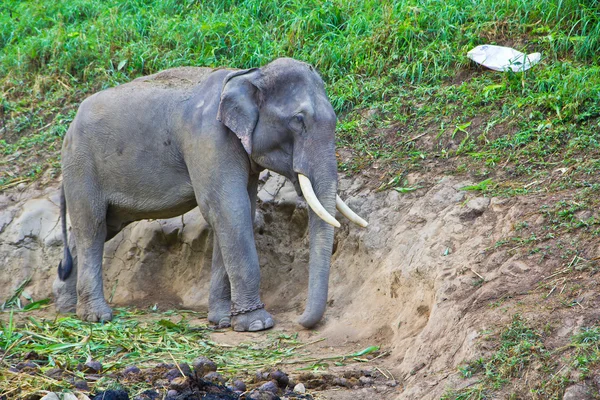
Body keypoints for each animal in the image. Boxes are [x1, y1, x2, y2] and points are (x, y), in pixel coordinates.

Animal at [54, 56, 368, 332]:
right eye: (298, 120)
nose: (301, 320)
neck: (250, 74)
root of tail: (68, 129)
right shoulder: (210, 138)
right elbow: (228, 209)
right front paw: (257, 324)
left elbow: (240, 212)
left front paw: (223, 321)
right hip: (82, 166)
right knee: (92, 227)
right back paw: (96, 317)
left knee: (100, 228)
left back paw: (66, 308)